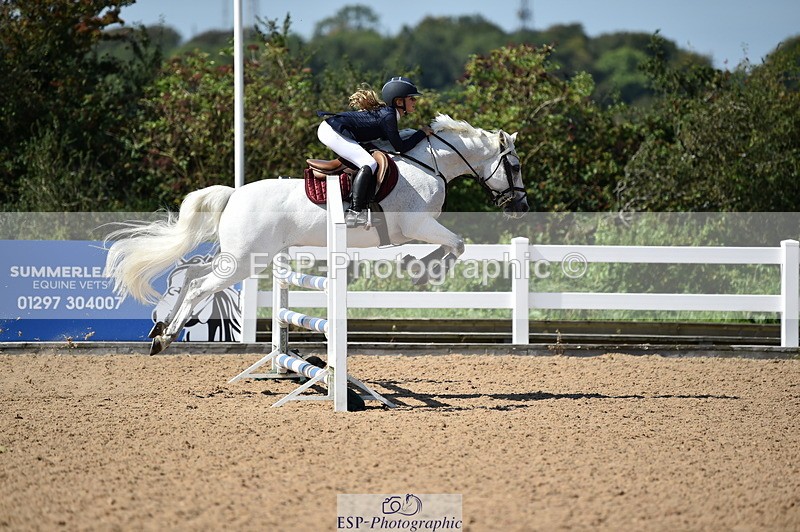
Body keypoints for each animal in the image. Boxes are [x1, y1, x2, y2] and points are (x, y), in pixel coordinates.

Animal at [105, 114, 529, 355]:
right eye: (515, 165)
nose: (521, 207)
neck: (431, 164)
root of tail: (234, 195)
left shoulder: (419, 228)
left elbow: (455, 245)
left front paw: (419, 268)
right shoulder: (418, 226)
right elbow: (456, 244)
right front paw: (422, 271)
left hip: (237, 257)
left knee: (192, 275)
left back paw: (160, 329)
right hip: (244, 261)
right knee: (198, 286)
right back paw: (165, 338)